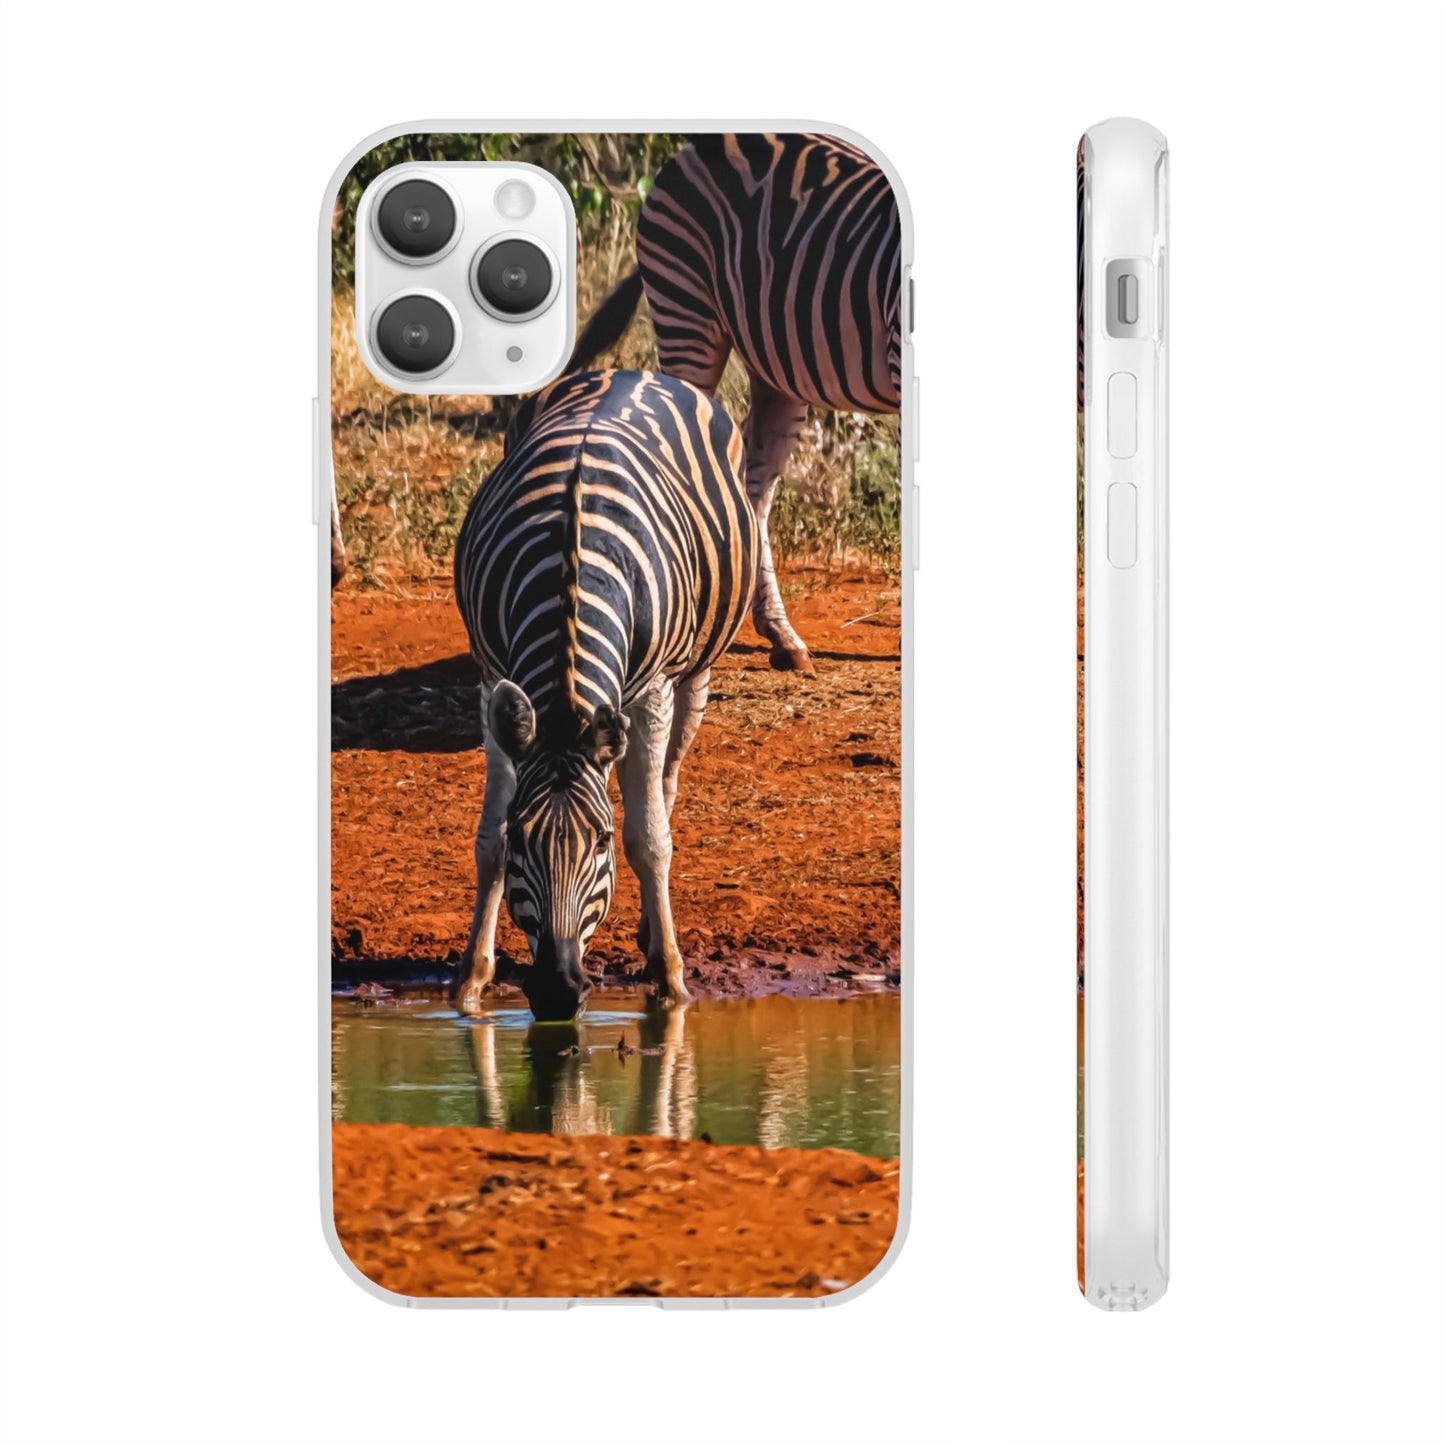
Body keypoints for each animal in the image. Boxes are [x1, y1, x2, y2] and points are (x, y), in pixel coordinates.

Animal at [452, 368, 758, 1020]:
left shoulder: (654, 690)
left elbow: (650, 840)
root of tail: (631, 371)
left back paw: (651, 931)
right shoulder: (491, 677)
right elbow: (487, 841)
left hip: (693, 673)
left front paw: (671, 980)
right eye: (524, 837)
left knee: (664, 786)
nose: (557, 991)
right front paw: (470, 980)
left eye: (601, 841)